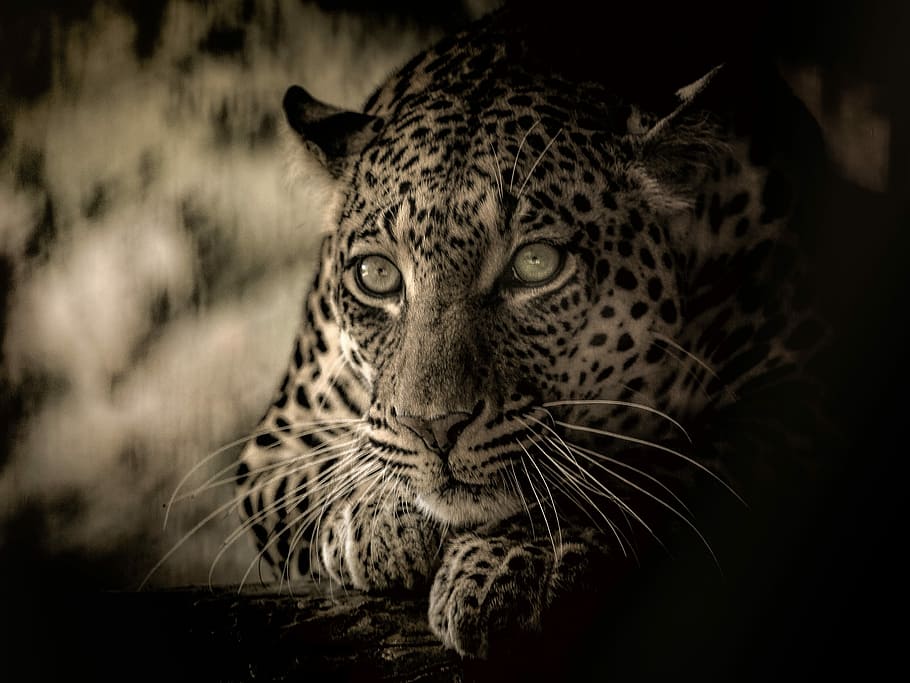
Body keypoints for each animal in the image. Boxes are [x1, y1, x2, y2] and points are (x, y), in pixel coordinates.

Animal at [235, 6, 830, 660]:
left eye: (536, 264)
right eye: (377, 275)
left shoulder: (798, 390)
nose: (434, 427)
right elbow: (324, 474)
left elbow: (650, 469)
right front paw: (381, 517)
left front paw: (514, 562)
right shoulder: (279, 438)